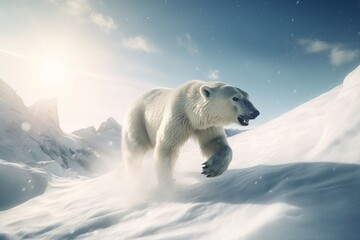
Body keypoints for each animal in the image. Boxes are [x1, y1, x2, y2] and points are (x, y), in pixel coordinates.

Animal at [121, 80, 258, 184]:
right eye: (235, 98)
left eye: (247, 97)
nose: (255, 112)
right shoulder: (178, 117)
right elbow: (167, 146)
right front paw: (167, 184)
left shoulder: (207, 125)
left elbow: (214, 141)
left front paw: (211, 168)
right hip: (138, 120)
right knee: (135, 149)